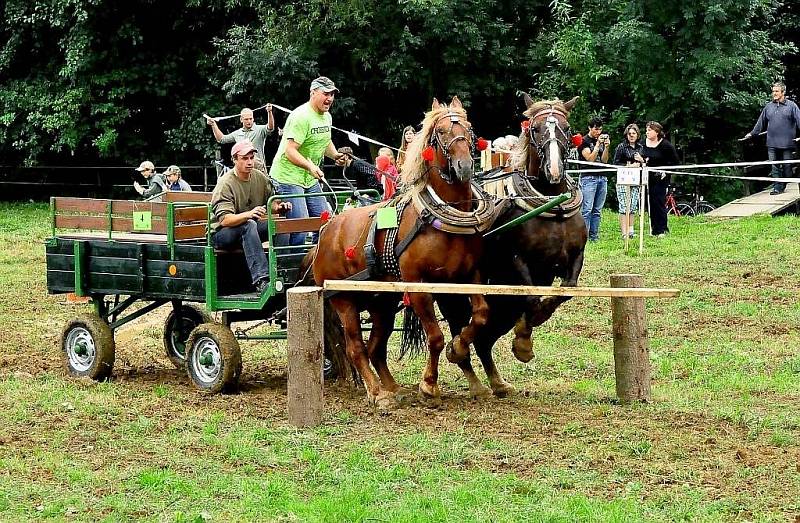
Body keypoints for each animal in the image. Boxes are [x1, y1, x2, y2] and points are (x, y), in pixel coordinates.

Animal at [310, 97, 488, 410]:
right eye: (440, 132)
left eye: (469, 128)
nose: (465, 166)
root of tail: (326, 230)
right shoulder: (418, 286)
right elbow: (436, 337)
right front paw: (429, 386)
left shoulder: (468, 276)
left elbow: (479, 316)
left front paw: (458, 349)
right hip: (344, 300)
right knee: (356, 347)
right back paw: (378, 393)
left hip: (380, 302)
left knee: (375, 346)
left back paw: (393, 388)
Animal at [438, 94, 588, 398]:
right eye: (536, 129)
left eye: (566, 128)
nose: (554, 170)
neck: (551, 207)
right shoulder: (517, 260)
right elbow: (530, 298)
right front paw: (524, 341)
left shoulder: (574, 257)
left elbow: (565, 291)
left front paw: (530, 328)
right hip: (453, 297)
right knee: (463, 335)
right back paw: (470, 374)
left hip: (500, 307)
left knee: (484, 339)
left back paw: (497, 382)